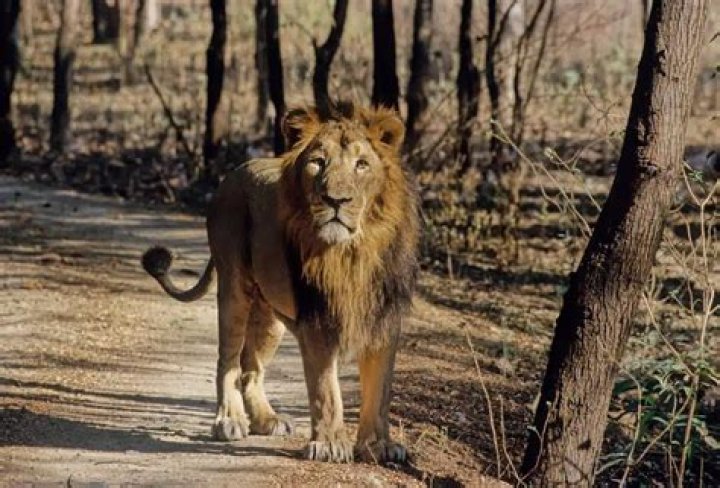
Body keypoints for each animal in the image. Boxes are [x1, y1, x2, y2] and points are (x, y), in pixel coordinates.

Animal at [142, 102, 420, 464]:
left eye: (362, 165)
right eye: (318, 162)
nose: (336, 200)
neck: (352, 253)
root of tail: (236, 170)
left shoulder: (383, 320)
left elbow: (380, 391)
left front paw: (378, 445)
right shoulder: (316, 322)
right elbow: (326, 390)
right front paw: (329, 444)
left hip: (271, 313)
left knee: (251, 367)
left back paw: (266, 419)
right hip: (234, 287)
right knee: (228, 360)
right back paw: (228, 421)